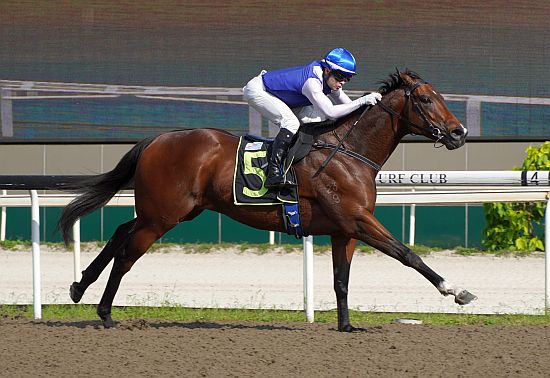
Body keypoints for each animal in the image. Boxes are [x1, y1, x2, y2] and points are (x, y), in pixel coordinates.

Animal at [58, 71, 476, 330]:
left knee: (119, 231)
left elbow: (341, 280)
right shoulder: (358, 220)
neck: (348, 152)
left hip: (172, 211)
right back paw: (105, 313)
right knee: (127, 255)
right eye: (426, 99)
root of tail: (155, 140)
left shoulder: (344, 230)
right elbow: (408, 255)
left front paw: (346, 325)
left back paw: (79, 287)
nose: (459, 132)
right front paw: (456, 291)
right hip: (161, 217)